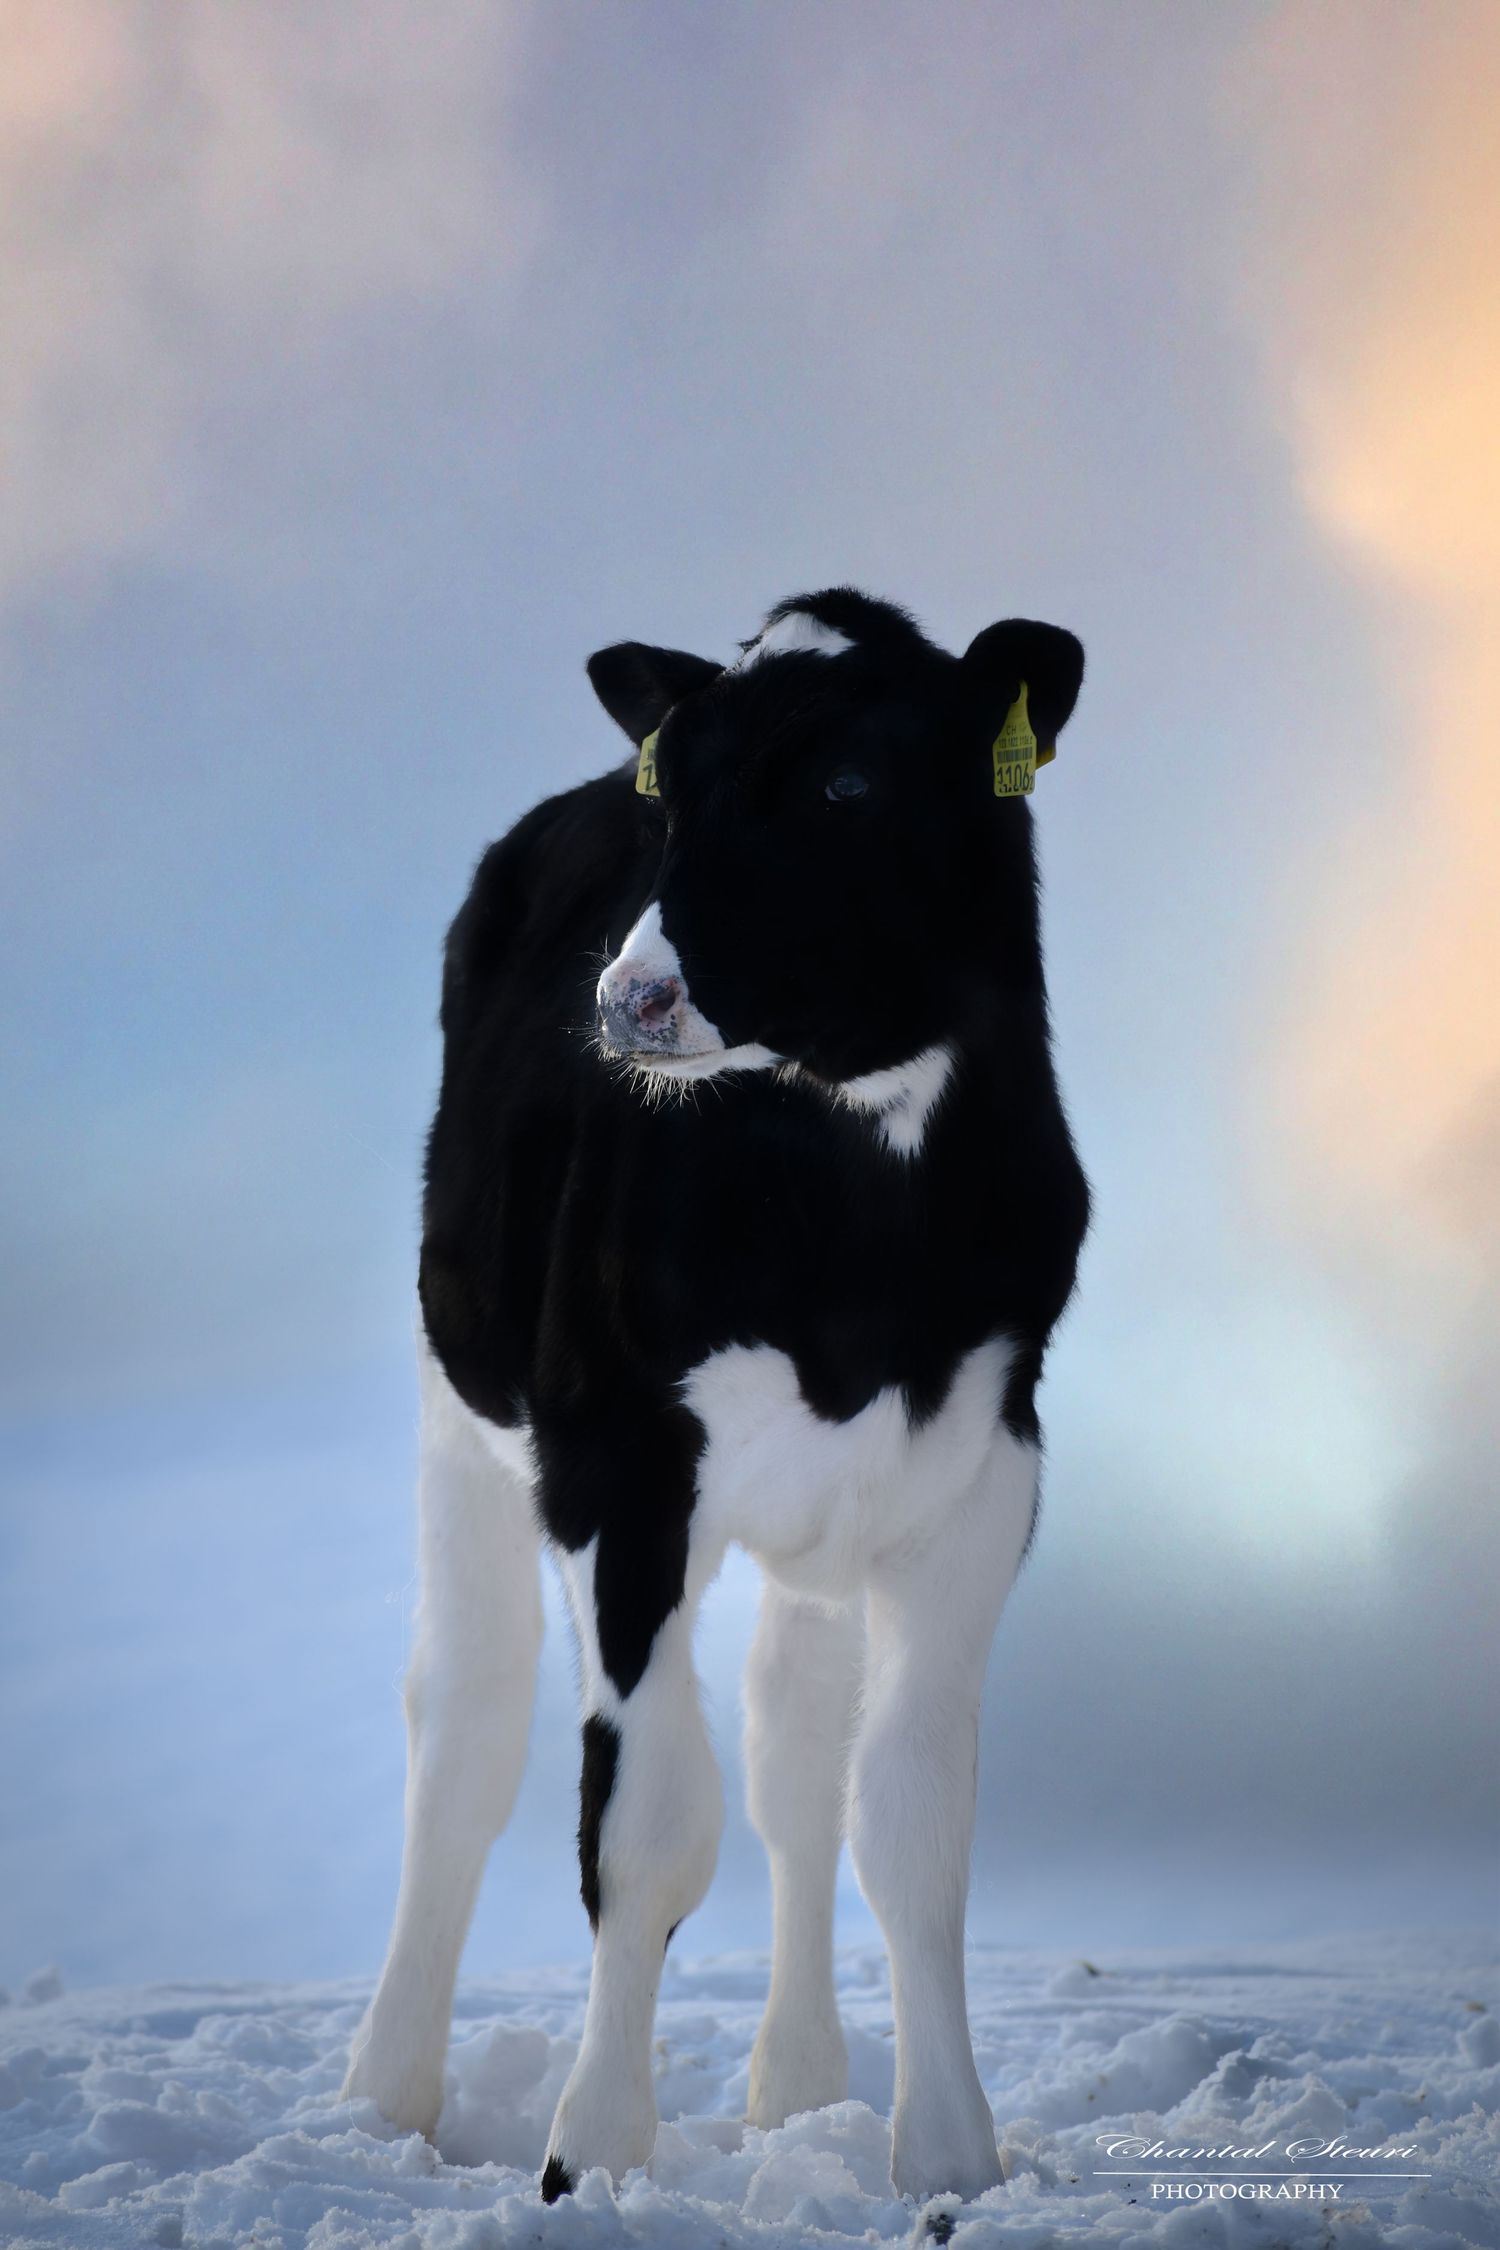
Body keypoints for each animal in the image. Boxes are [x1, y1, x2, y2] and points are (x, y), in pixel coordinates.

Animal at [342, 588, 1090, 2207]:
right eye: (669, 795)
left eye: (850, 784)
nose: (632, 995)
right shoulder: (614, 1463)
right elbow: (647, 1823)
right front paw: (591, 2155)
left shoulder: (985, 1467)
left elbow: (908, 1815)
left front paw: (949, 2157)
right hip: (456, 1397)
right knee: (465, 1722)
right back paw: (383, 2095)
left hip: (823, 1510)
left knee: (794, 1739)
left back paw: (794, 2087)